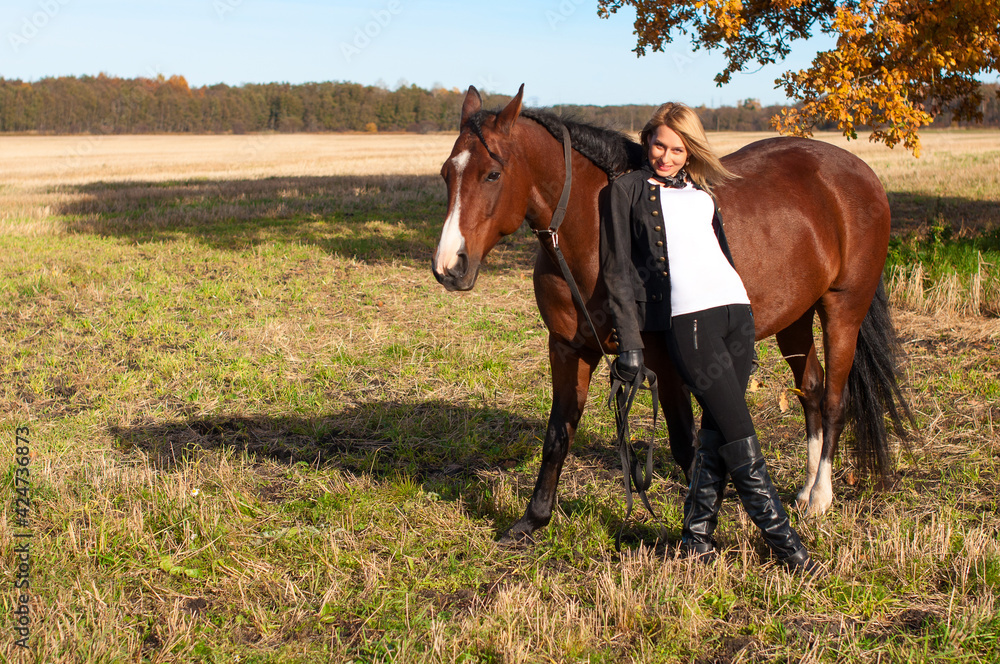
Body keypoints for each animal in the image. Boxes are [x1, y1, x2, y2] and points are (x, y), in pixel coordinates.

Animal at [432, 84, 912, 543]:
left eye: (493, 173)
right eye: (446, 174)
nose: (448, 267)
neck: (596, 237)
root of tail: (857, 172)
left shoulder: (664, 361)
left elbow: (686, 442)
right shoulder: (569, 349)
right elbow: (558, 434)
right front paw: (532, 521)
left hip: (842, 309)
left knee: (833, 400)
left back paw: (821, 498)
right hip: (795, 317)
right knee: (810, 390)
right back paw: (805, 488)